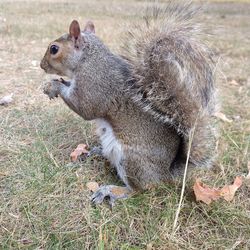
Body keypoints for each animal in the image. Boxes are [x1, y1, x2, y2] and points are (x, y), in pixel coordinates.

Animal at [40, 0, 218, 206]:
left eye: (54, 49)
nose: (41, 65)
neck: (88, 59)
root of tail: (166, 173)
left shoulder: (94, 86)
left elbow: (85, 108)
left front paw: (54, 86)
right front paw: (53, 84)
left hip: (131, 160)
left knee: (140, 189)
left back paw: (111, 190)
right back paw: (97, 152)